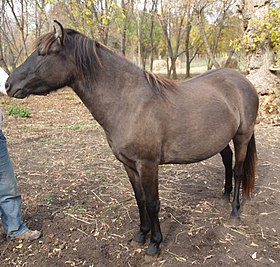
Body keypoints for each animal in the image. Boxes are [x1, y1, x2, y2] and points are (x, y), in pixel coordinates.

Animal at [5, 20, 258, 255]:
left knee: (237, 170)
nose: (8, 84)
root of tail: (242, 80)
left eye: (42, 53)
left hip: (242, 136)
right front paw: (141, 234)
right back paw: (224, 195)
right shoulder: (129, 164)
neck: (130, 102)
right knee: (226, 160)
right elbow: (140, 200)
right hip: (219, 139)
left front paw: (155, 243)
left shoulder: (148, 164)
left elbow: (153, 203)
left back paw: (234, 212)